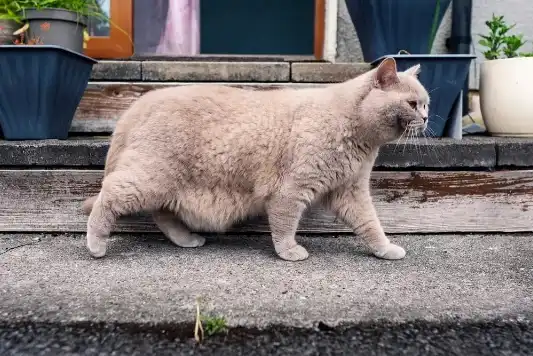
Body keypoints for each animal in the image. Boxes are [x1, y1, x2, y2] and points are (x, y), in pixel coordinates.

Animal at [82, 57, 428, 260]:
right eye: (412, 104)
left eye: (426, 103)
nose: (426, 118)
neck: (356, 134)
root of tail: (139, 104)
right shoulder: (291, 190)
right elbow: (285, 225)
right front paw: (289, 252)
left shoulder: (351, 191)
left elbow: (371, 224)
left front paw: (385, 249)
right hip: (152, 177)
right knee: (108, 195)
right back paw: (96, 244)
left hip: (167, 184)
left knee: (161, 214)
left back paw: (186, 240)